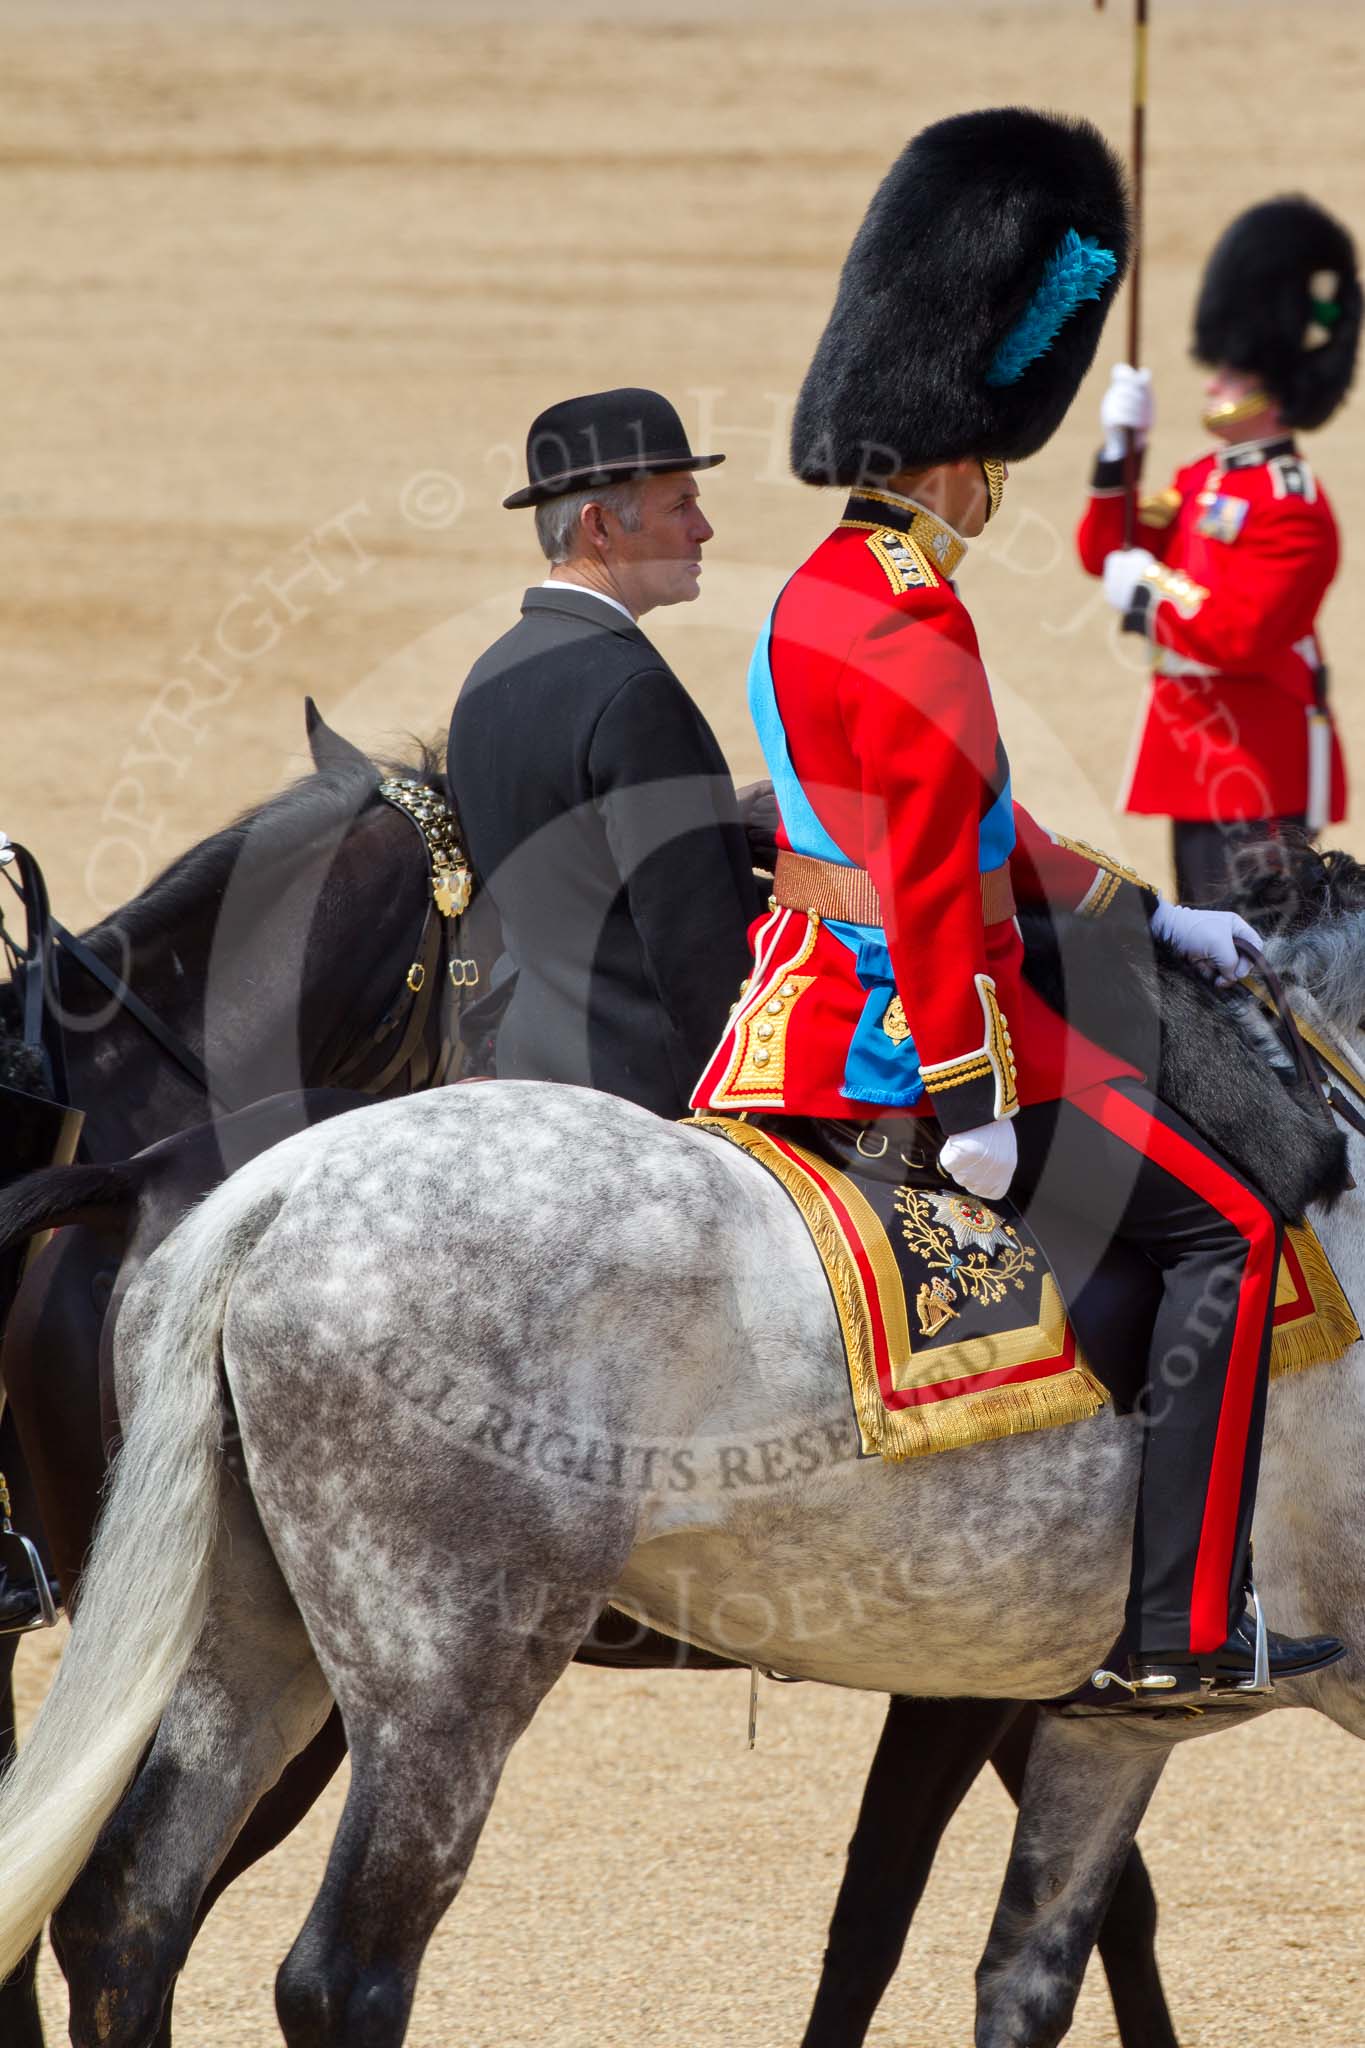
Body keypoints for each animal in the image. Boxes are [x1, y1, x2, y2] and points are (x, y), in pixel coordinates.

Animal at [2, 858, 1361, 2048]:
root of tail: (269, 1188)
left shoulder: (1082, 1715)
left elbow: (1018, 1963)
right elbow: (894, 1918)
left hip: (246, 1633)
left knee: (125, 1907)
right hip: (441, 1678)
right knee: (342, 1974)